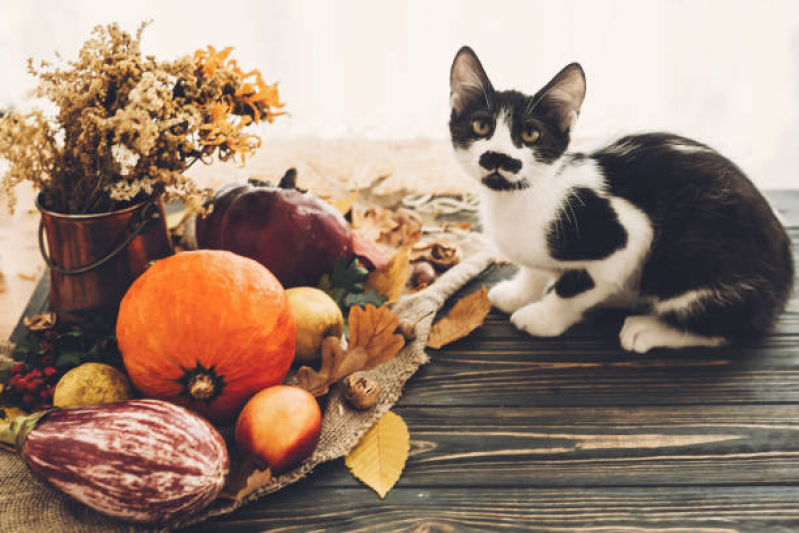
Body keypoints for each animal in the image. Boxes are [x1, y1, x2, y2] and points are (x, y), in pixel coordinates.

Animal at [450, 46, 792, 354]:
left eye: (531, 134)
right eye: (481, 126)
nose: (497, 157)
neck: (523, 197)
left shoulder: (627, 233)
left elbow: (573, 290)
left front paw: (542, 318)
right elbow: (535, 270)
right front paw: (519, 294)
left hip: (689, 257)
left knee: (732, 327)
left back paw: (647, 329)